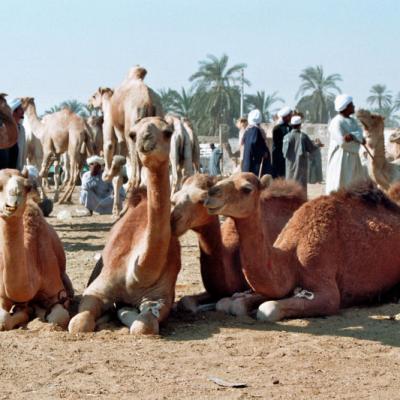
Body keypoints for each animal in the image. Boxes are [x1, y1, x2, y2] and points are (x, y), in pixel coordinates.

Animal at [0, 170, 72, 332]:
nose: (12, 203)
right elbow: (3, 320)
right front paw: (26, 311)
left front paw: (33, 310)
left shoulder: (56, 291)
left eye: (27, 186)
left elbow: (59, 317)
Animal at [69, 117, 181, 336]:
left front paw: (125, 312)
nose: (145, 139)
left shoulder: (161, 298)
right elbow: (79, 323)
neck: (136, 276)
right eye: (132, 134)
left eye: (168, 132)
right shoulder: (99, 286)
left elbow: (144, 326)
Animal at [203, 172, 400, 322]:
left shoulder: (327, 288)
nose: (211, 193)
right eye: (223, 178)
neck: (291, 255)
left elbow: (268, 309)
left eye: (247, 189)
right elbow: (231, 303)